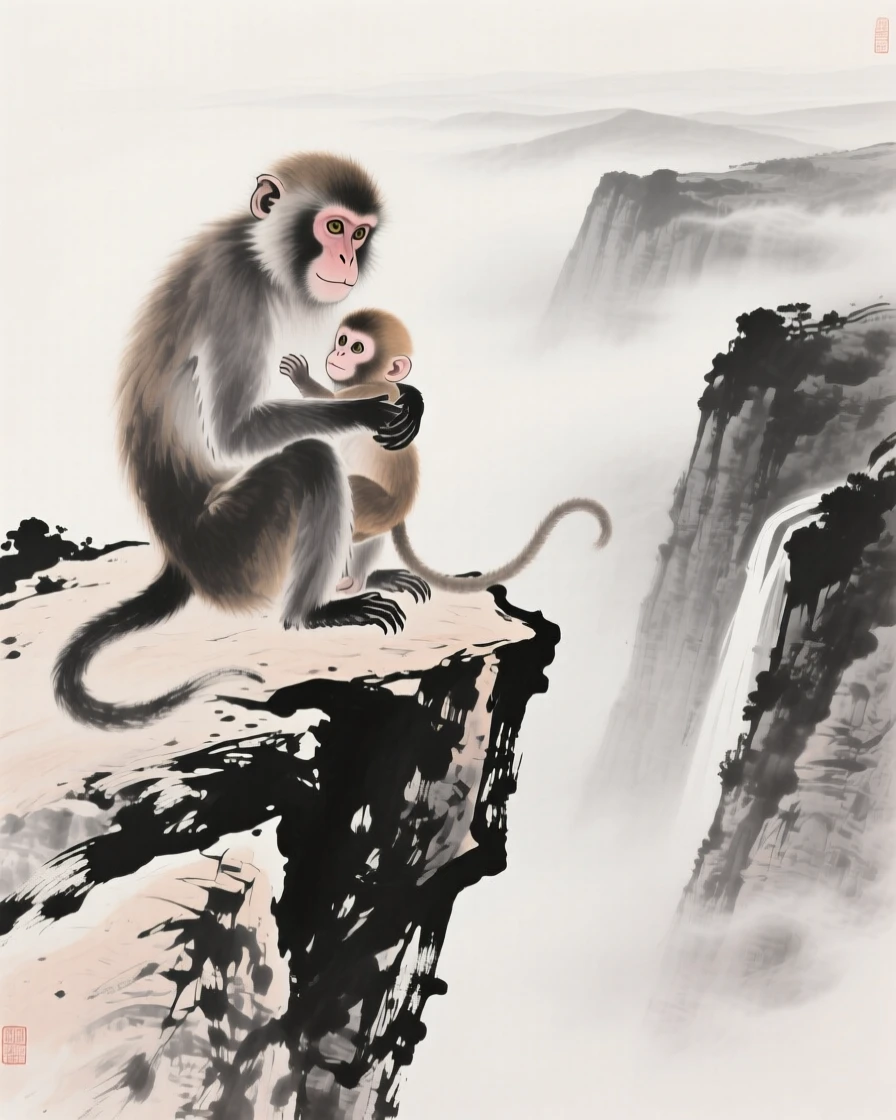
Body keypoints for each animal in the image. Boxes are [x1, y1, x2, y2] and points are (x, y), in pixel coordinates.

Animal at [53, 152, 426, 731]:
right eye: (334, 228)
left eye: (361, 233)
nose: (347, 257)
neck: (255, 250)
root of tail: (181, 558)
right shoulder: (239, 294)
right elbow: (232, 436)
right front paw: (367, 409)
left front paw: (409, 398)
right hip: (235, 551)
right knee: (312, 461)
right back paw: (310, 615)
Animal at [280, 308, 612, 601]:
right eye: (342, 340)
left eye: (357, 347)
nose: (338, 355)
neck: (375, 381)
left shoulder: (364, 393)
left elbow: (327, 404)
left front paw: (303, 379)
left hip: (374, 507)